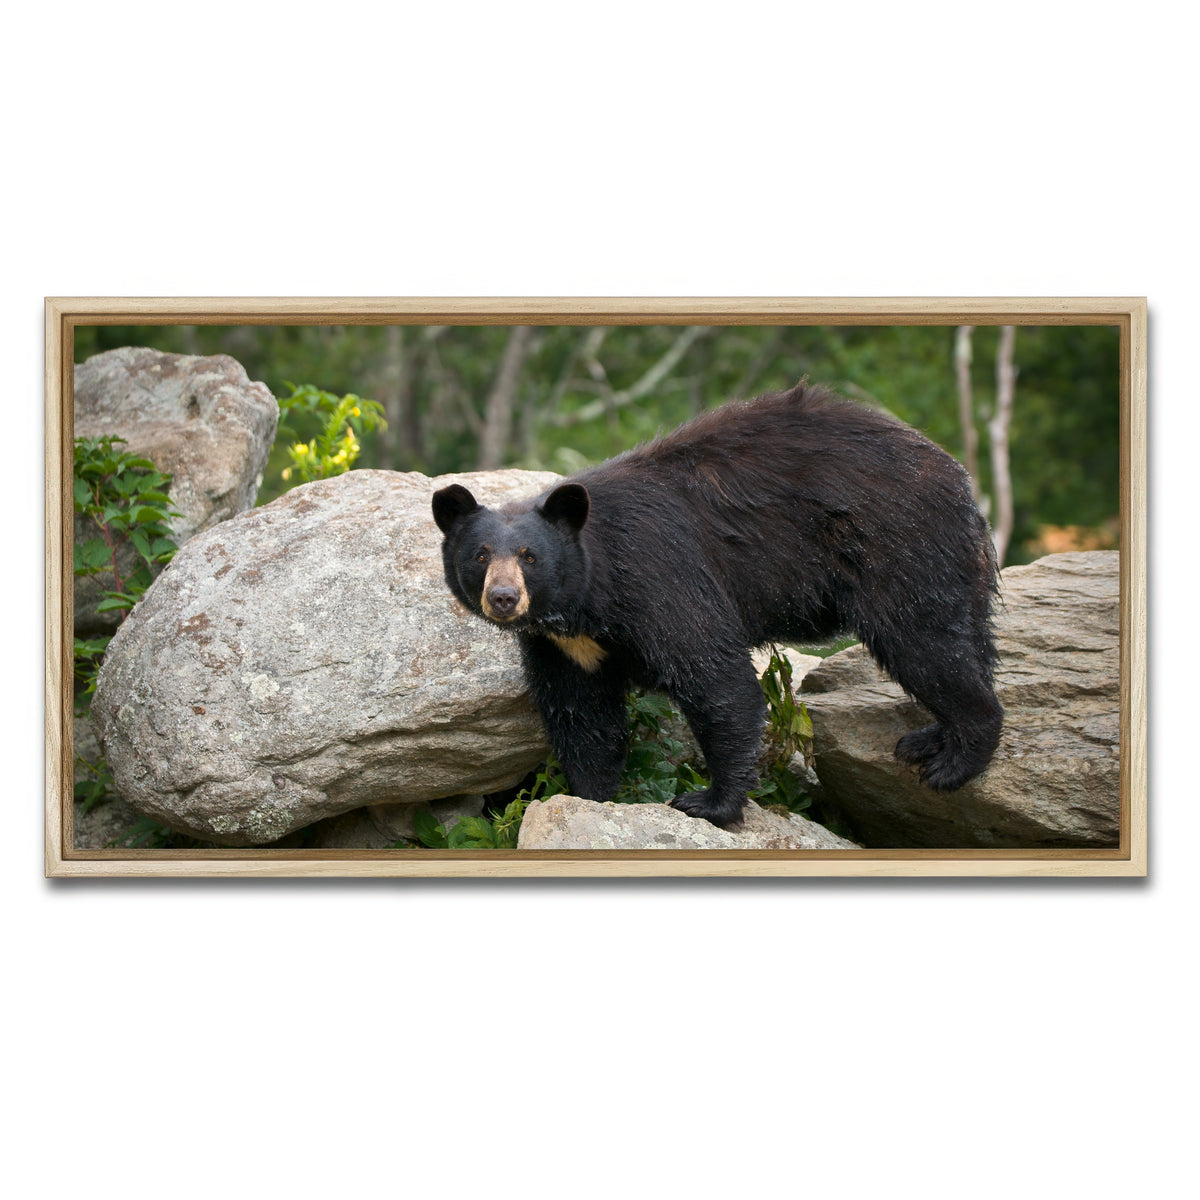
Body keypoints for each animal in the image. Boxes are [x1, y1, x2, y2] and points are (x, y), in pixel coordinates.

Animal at [432, 381, 1003, 829]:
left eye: (529, 556)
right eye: (481, 554)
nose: (503, 598)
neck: (588, 600)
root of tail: (958, 478)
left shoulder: (658, 576)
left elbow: (715, 680)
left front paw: (709, 802)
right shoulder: (563, 645)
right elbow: (582, 715)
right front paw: (591, 796)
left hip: (898, 546)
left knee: (924, 643)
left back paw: (954, 760)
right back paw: (930, 739)